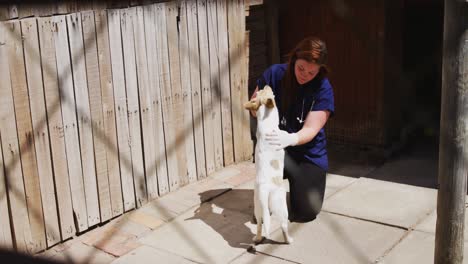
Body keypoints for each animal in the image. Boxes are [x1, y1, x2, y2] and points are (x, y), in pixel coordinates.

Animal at [245, 85, 292, 244]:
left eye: (259, 92)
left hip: (258, 209)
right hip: (281, 207)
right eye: (267, 92)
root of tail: (264, 191)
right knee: (284, 226)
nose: (266, 84)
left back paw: (257, 238)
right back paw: (289, 240)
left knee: (260, 224)